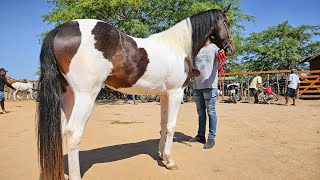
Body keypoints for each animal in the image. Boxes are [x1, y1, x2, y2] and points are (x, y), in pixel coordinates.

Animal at [37, 4, 235, 179]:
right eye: (226, 22)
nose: (231, 49)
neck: (177, 46)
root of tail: (59, 30)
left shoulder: (164, 95)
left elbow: (163, 124)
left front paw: (161, 155)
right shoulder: (176, 93)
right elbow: (171, 126)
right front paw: (170, 161)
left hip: (67, 94)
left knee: (61, 130)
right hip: (86, 95)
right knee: (73, 132)